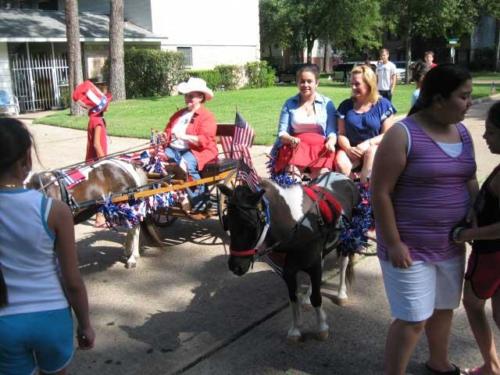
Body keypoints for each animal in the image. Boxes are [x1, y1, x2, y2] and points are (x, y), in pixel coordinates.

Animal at [219, 172, 360, 342]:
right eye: (227, 222)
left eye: (251, 225)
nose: (235, 266)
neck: (296, 226)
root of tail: (342, 176)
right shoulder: (289, 271)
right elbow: (293, 298)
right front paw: (295, 329)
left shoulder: (313, 265)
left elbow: (317, 298)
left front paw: (321, 327)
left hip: (346, 240)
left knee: (343, 263)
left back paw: (341, 294)